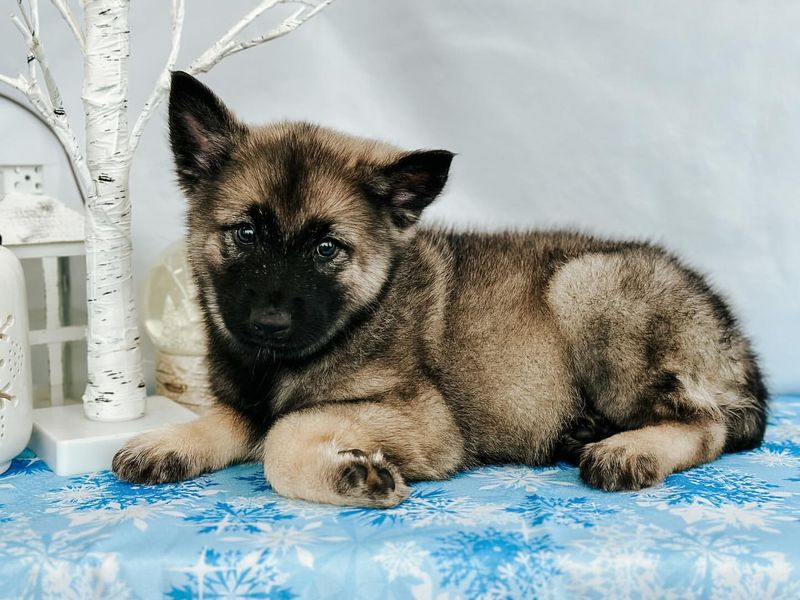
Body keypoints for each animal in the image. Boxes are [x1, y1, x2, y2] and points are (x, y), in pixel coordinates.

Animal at [109, 72, 764, 508]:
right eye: (245, 233)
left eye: (327, 250)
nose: (270, 325)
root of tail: (731, 339)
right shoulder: (245, 398)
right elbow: (230, 417)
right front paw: (166, 441)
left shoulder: (424, 419)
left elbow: (284, 430)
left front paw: (350, 474)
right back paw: (586, 432)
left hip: (588, 285)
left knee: (706, 424)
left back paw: (629, 450)